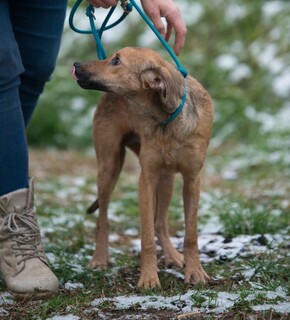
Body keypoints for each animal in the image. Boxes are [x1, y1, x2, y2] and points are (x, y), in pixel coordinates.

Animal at [71, 47, 214, 288]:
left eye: (116, 61)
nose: (76, 65)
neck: (168, 120)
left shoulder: (192, 179)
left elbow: (190, 234)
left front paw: (194, 272)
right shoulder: (146, 179)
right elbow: (146, 236)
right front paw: (148, 277)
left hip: (166, 179)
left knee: (161, 223)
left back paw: (172, 255)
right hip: (109, 167)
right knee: (103, 221)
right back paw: (99, 259)